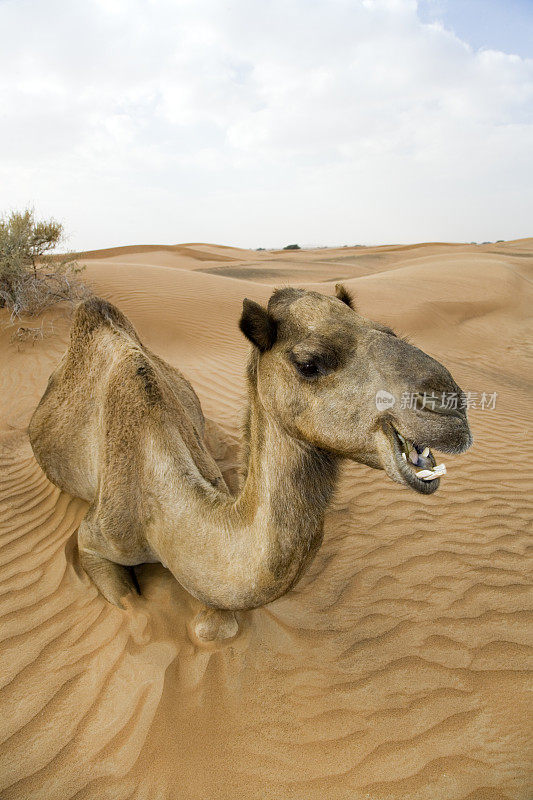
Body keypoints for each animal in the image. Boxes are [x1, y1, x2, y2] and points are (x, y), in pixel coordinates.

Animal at [29, 288, 470, 644]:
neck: (160, 510)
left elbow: (217, 624)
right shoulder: (95, 538)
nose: (449, 404)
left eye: (386, 331)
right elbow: (137, 612)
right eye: (310, 363)